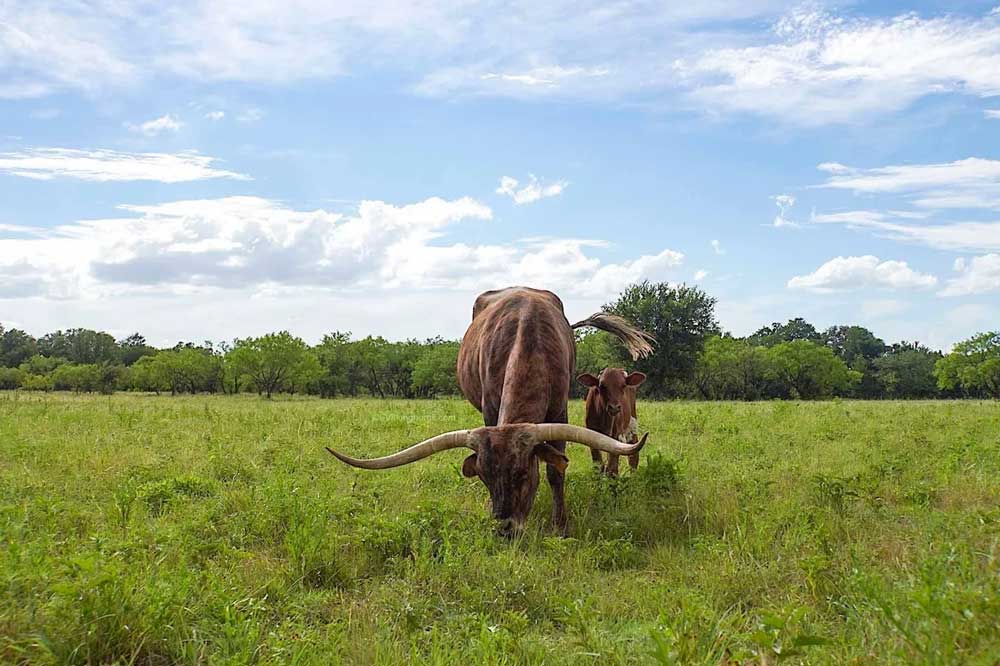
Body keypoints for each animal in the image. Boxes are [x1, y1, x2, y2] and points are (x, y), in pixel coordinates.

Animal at [328, 286, 652, 536]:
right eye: (483, 476)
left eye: (523, 473)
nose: (505, 530)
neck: (530, 337)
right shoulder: (489, 409)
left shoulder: (560, 412)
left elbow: (555, 471)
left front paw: (560, 527)